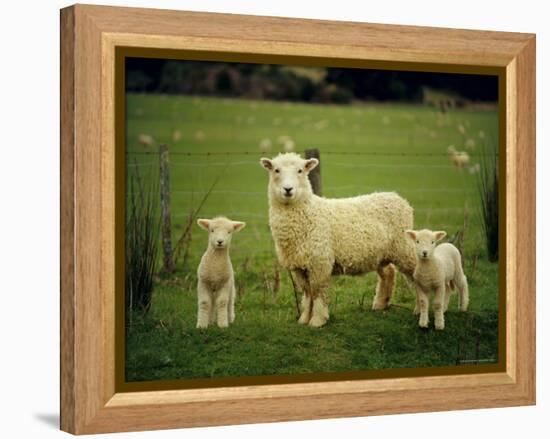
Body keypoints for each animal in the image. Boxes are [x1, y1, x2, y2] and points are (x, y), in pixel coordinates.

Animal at [260, 153, 416, 328]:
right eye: (276, 170)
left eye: (300, 170)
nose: (288, 189)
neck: (308, 212)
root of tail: (397, 197)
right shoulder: (299, 265)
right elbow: (307, 292)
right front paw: (304, 319)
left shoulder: (319, 262)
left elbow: (317, 291)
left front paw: (317, 320)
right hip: (380, 253)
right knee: (388, 272)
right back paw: (380, 304)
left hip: (404, 247)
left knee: (418, 274)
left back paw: (421, 309)